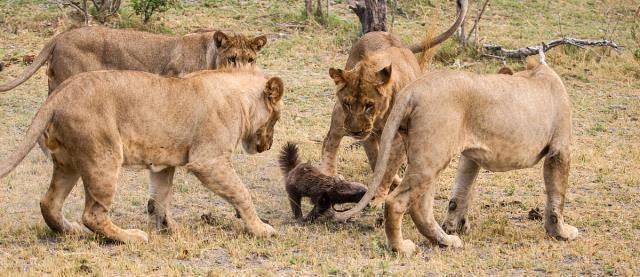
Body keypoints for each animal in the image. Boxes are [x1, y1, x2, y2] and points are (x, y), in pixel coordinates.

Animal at [0, 67, 282, 242]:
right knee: (93, 215)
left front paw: (169, 228)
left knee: (49, 202)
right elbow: (242, 193)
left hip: (67, 162)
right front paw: (260, 228)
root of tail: (60, 92)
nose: (268, 145)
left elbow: (159, 198)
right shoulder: (209, 161)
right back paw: (131, 237)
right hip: (104, 156)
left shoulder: (165, 164)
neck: (242, 100)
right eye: (276, 118)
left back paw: (70, 230)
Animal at [336, 51, 580, 254]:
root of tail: (412, 89)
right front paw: (561, 232)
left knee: (421, 207)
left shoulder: (471, 155)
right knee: (396, 202)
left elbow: (461, 192)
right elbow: (557, 197)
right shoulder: (560, 149)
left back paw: (445, 241)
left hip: (427, 156)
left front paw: (455, 226)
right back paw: (401, 248)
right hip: (432, 156)